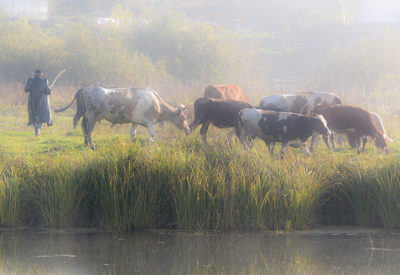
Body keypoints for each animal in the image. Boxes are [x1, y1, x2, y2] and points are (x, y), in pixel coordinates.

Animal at [55, 87, 191, 150]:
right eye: (183, 117)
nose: (188, 129)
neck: (157, 103)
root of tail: (85, 88)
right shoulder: (149, 121)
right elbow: (153, 135)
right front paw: (153, 146)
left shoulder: (136, 121)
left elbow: (132, 134)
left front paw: (130, 145)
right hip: (92, 116)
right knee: (88, 131)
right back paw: (92, 146)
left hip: (87, 116)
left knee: (83, 127)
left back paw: (86, 144)